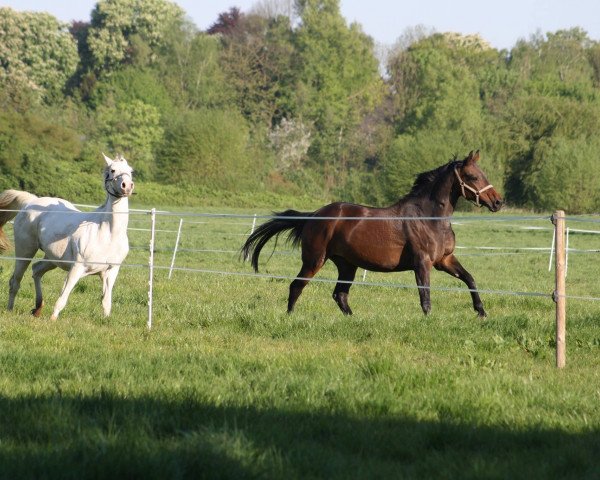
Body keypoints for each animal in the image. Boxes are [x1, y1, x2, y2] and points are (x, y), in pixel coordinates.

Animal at [0, 154, 135, 318]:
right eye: (112, 170)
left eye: (130, 171)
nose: (127, 186)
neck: (108, 234)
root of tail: (31, 201)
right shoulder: (77, 268)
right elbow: (63, 297)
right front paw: (53, 319)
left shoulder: (111, 272)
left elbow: (106, 302)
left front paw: (106, 320)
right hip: (25, 252)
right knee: (15, 281)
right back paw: (10, 310)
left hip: (52, 258)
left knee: (37, 270)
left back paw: (38, 308)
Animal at [241, 150, 504, 316]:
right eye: (472, 176)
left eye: (484, 174)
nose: (498, 202)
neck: (430, 218)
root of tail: (314, 216)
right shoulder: (423, 263)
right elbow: (425, 296)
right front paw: (429, 320)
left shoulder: (444, 260)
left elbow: (470, 279)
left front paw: (481, 312)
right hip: (315, 260)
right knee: (297, 286)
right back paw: (290, 316)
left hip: (347, 265)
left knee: (340, 295)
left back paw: (353, 319)